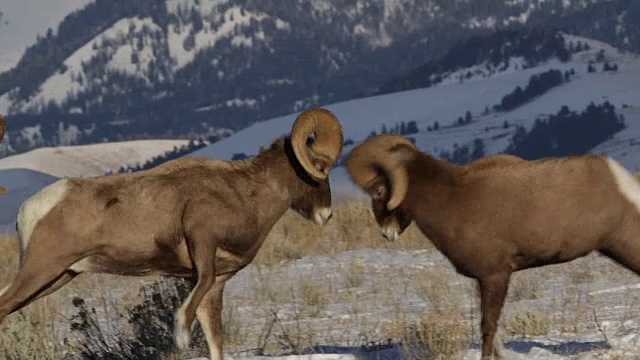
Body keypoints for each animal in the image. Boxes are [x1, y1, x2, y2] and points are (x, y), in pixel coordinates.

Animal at [0, 107, 344, 360]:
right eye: (320, 165)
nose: (326, 215)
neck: (247, 195)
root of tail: (29, 209)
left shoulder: (215, 285)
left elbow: (215, 339)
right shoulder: (202, 246)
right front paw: (180, 336)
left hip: (59, 277)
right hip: (41, 270)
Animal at [348, 134, 640, 358]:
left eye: (378, 192)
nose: (387, 233)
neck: (451, 198)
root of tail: (622, 181)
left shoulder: (495, 276)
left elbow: (488, 328)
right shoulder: (487, 281)